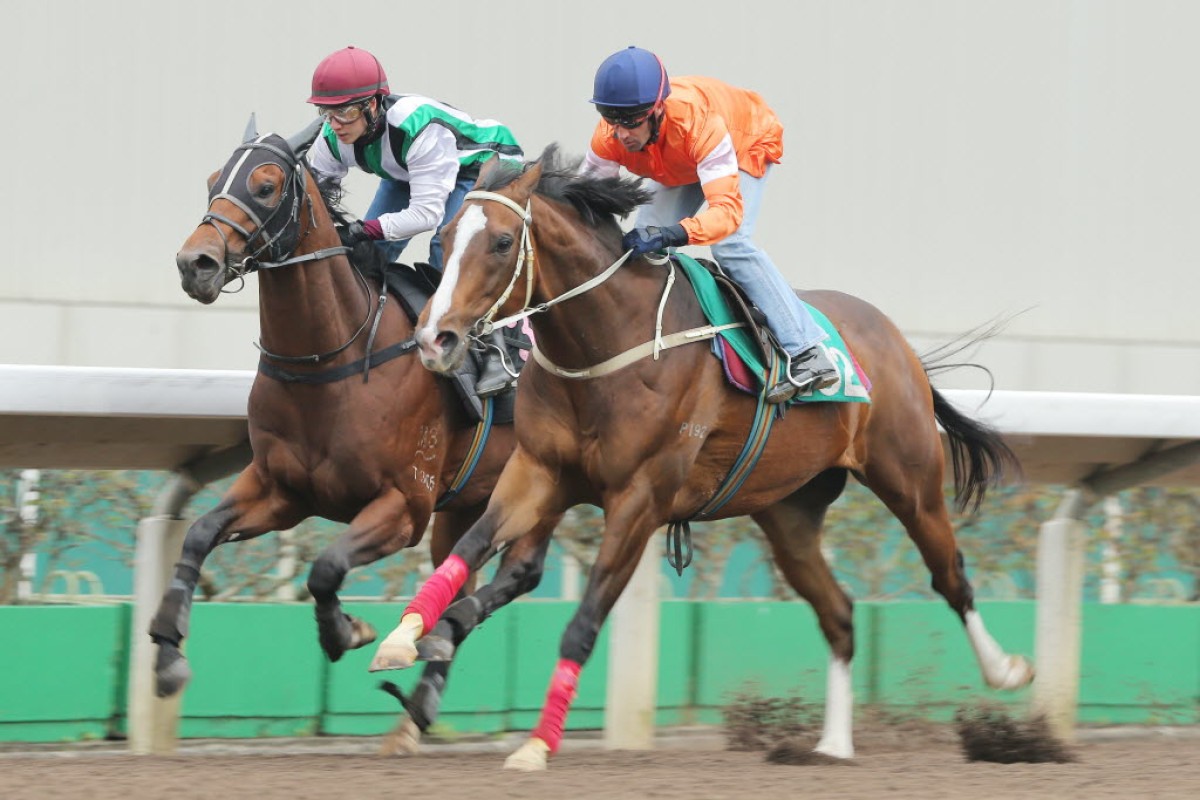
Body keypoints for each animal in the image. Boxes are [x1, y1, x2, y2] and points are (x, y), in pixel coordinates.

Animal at [157, 117, 513, 753]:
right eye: (212, 180)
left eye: (266, 186)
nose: (194, 263)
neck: (331, 359)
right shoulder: (281, 491)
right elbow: (197, 534)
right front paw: (168, 652)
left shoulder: (403, 506)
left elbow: (324, 569)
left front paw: (347, 631)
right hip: (465, 509)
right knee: (460, 578)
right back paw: (417, 708)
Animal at [367, 148, 1032, 767]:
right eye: (449, 233)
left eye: (503, 242)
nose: (434, 339)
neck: (609, 341)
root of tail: (896, 340)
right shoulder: (539, 470)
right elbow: (470, 547)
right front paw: (408, 635)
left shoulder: (640, 498)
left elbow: (582, 625)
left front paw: (534, 745)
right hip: (789, 512)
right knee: (840, 614)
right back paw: (833, 744)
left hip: (910, 478)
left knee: (950, 575)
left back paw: (1005, 671)